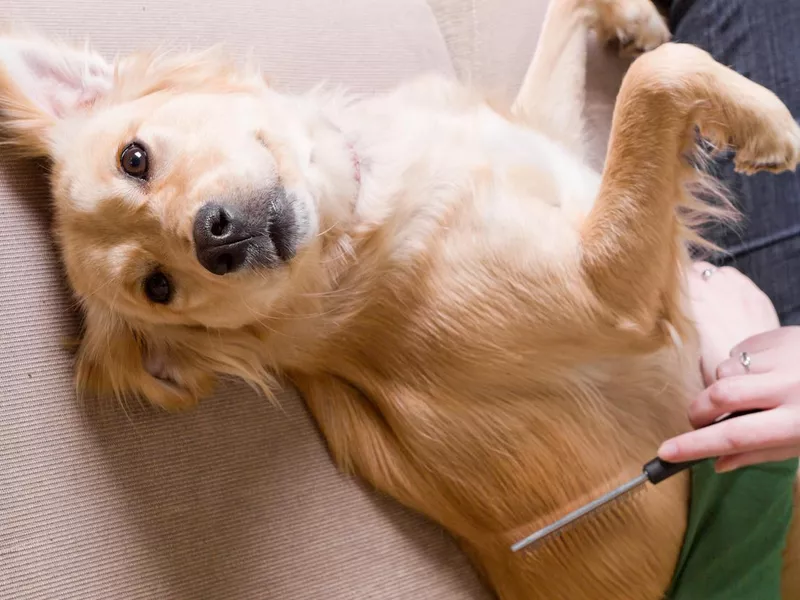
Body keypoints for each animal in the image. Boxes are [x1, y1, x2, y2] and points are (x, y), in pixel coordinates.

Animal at [1, 0, 800, 596]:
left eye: (133, 158)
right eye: (157, 287)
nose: (214, 239)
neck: (359, 212)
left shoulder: (548, 138)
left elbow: (596, 33)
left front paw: (631, 18)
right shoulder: (606, 292)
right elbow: (657, 81)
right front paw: (766, 122)